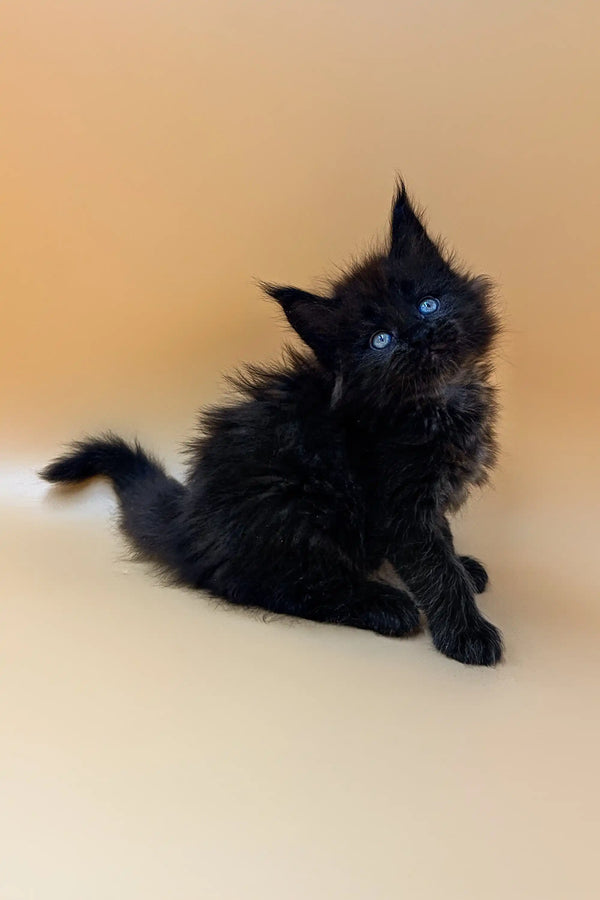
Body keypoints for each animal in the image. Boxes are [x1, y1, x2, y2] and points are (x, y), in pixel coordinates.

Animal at [41, 181, 502, 660]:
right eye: (380, 340)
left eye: (427, 304)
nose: (418, 334)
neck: (440, 401)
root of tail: (189, 523)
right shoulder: (400, 504)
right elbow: (434, 568)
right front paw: (466, 633)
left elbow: (443, 545)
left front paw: (463, 567)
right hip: (293, 503)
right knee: (267, 586)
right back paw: (383, 604)